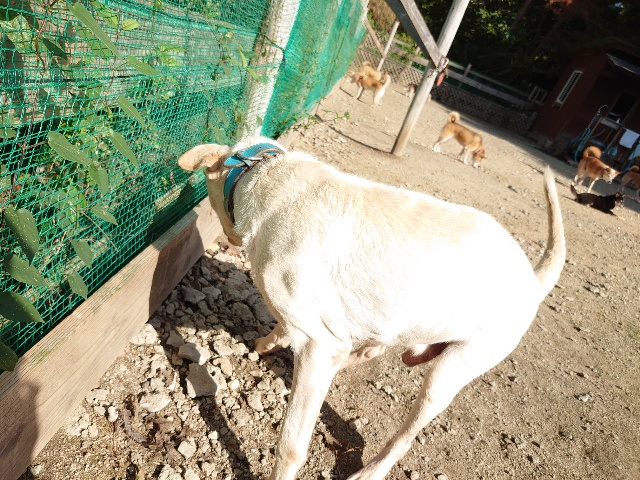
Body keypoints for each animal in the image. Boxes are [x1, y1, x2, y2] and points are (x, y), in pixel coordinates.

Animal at [178, 137, 565, 480]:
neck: (264, 170)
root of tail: (534, 280)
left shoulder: (319, 344)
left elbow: (291, 445)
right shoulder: (313, 327)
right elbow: (285, 328)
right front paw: (266, 343)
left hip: (451, 372)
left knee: (403, 437)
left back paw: (369, 472)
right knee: (383, 349)